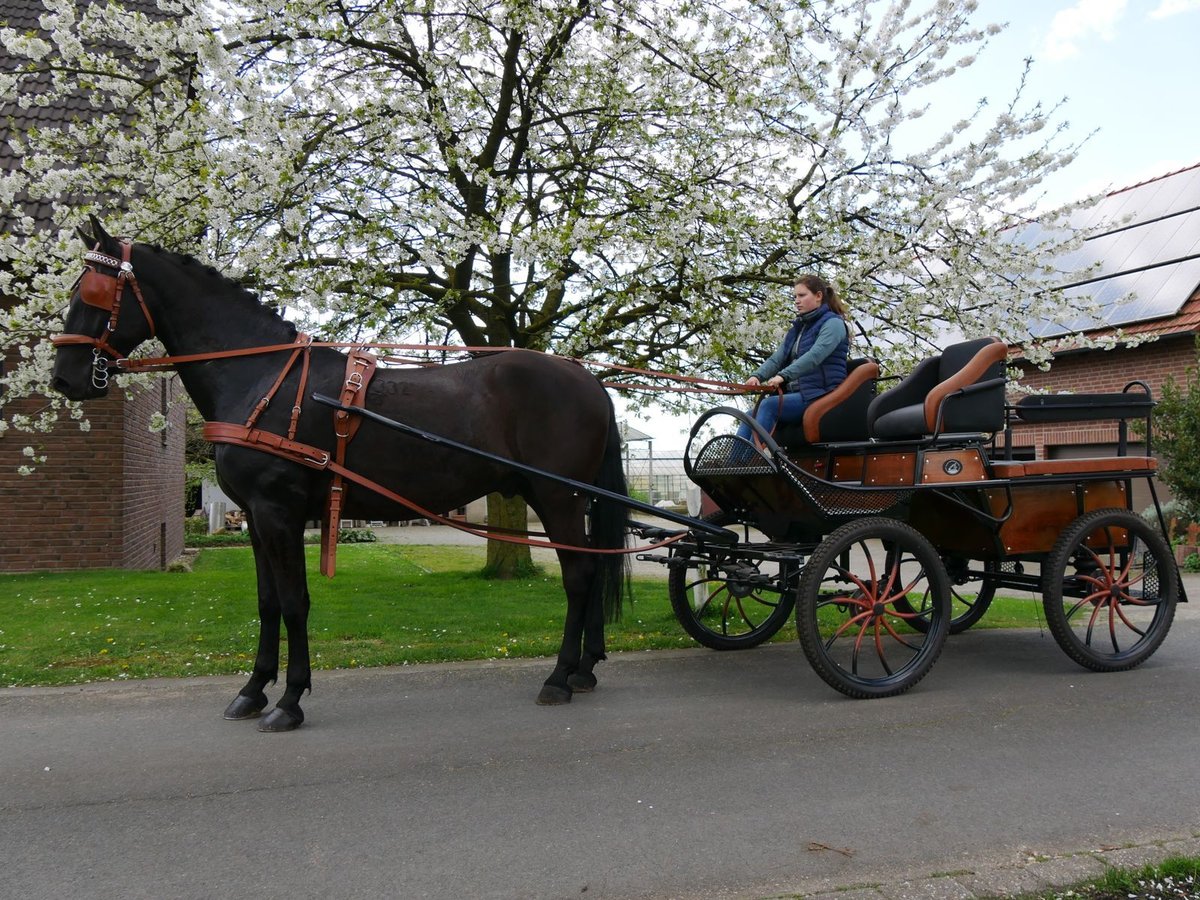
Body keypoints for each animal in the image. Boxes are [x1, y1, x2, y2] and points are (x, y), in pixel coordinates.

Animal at [49, 218, 628, 734]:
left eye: (94, 291)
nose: (64, 378)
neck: (262, 377)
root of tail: (587, 378)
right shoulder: (256, 519)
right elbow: (267, 604)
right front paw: (252, 691)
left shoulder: (278, 513)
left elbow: (294, 603)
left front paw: (289, 700)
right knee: (592, 568)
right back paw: (582, 670)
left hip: (558, 497)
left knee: (579, 575)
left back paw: (559, 677)